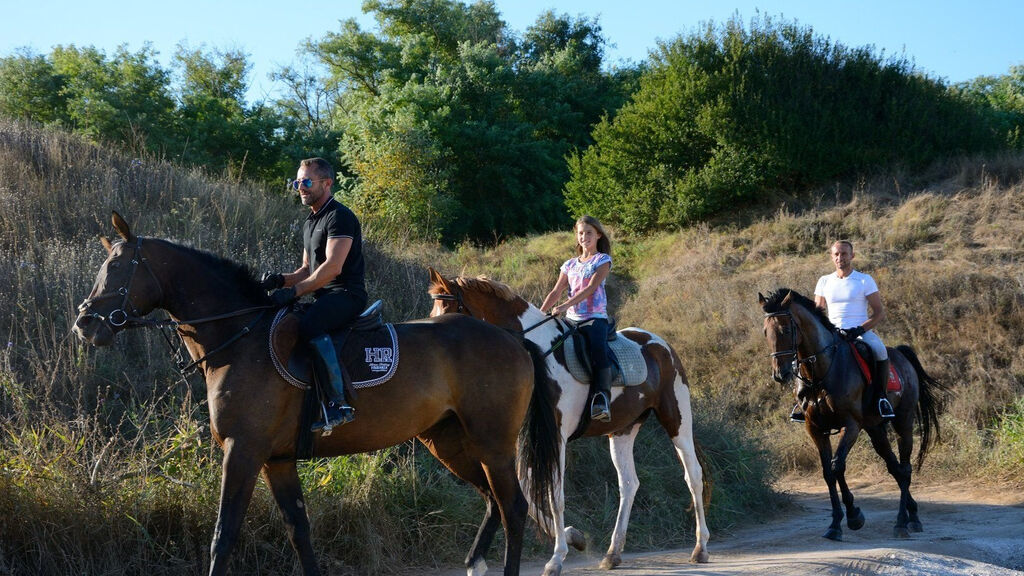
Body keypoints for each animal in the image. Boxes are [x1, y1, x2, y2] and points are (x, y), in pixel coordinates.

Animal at [72, 212, 560, 576]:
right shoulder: (277, 460)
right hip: (448, 441)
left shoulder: (243, 450)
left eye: (116, 268)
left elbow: (223, 535)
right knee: (493, 501)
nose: (85, 324)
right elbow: (299, 531)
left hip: (492, 442)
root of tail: (512, 339)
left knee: (514, 507)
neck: (238, 337)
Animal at [427, 268, 710, 576]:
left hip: (677, 419)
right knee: (629, 483)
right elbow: (528, 491)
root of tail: (661, 344)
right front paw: (574, 537)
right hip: (623, 431)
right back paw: (613, 554)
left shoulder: (556, 437)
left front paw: (556, 558)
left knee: (693, 476)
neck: (537, 351)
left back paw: (700, 549)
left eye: (447, 309)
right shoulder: (529, 438)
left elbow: (554, 496)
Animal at [758, 288, 944, 541]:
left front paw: (854, 516)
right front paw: (836, 523)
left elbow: (837, 466)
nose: (780, 374)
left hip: (903, 423)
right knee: (894, 467)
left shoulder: (851, 425)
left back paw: (902, 523)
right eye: (766, 332)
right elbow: (828, 472)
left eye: (786, 330)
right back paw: (912, 514)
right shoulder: (815, 428)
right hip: (875, 428)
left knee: (905, 469)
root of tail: (901, 354)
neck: (821, 373)